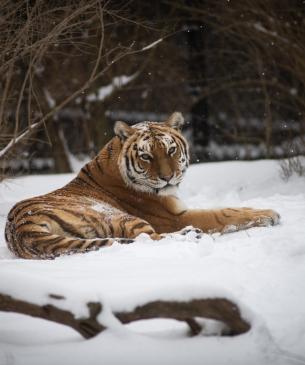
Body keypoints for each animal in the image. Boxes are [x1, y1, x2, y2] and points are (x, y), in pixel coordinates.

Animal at [4, 111, 280, 258]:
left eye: (170, 150)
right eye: (146, 156)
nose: (168, 177)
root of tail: (21, 228)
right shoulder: (174, 217)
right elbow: (223, 213)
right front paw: (269, 213)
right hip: (117, 216)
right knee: (151, 239)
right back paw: (190, 234)